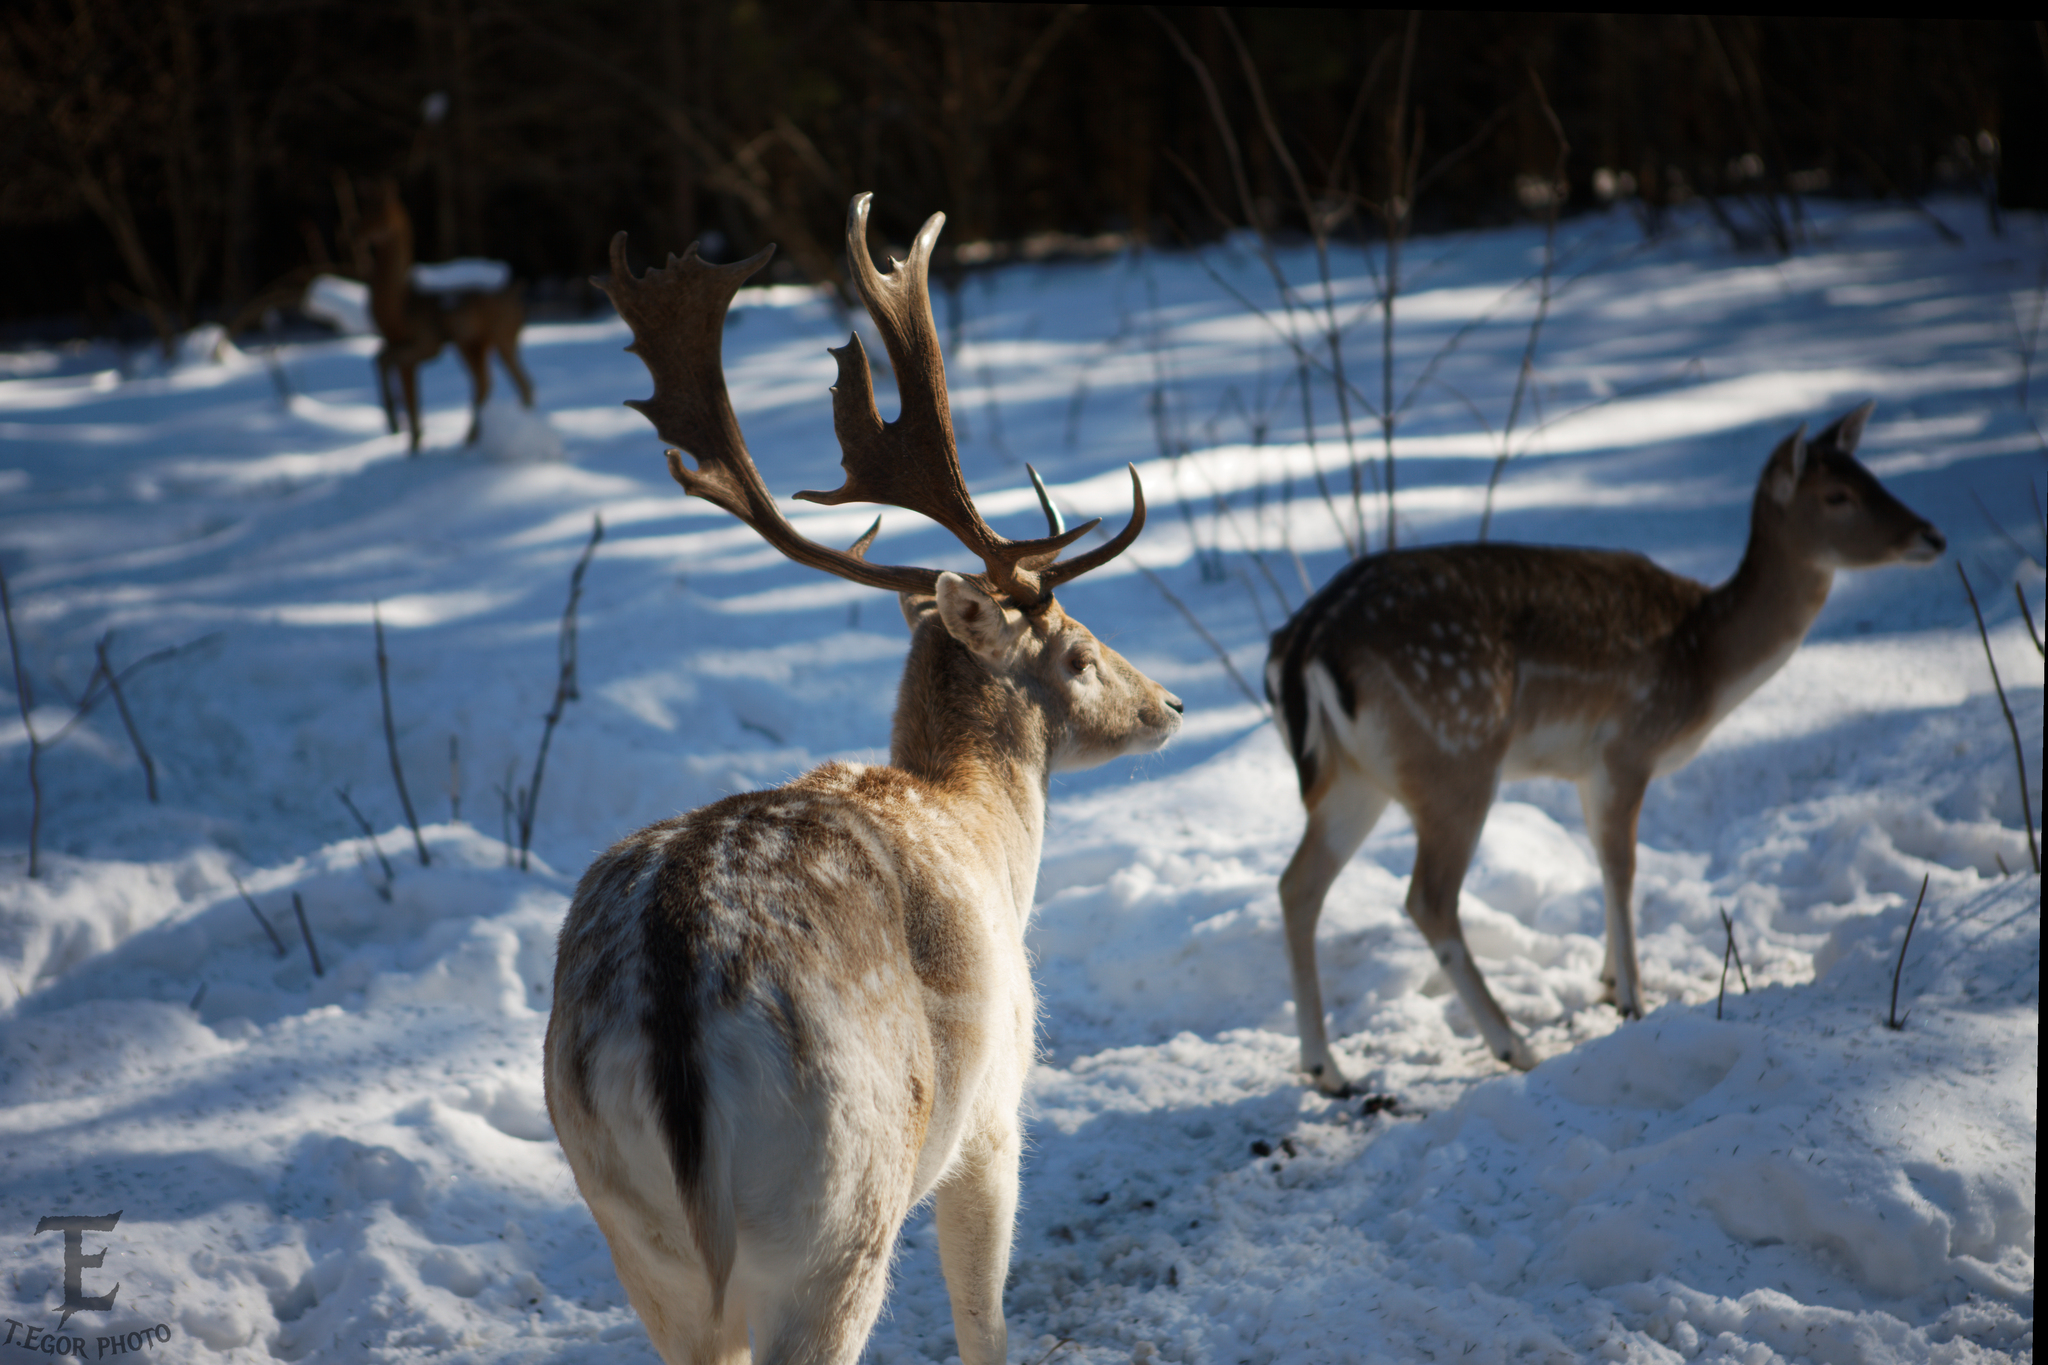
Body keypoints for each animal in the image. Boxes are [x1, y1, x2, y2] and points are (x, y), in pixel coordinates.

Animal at [362, 178, 536, 448]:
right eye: (363, 207)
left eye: (379, 210)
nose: (353, 229)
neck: (399, 307)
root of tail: (516, 293)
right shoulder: (396, 343)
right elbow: (380, 359)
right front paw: (401, 429)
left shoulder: (427, 344)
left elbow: (398, 373)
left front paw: (410, 436)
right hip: (475, 344)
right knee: (490, 383)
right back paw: (474, 437)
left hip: (497, 338)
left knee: (513, 383)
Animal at [544, 194, 1187, 1365]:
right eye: (1077, 650)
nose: (1168, 703)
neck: (980, 824)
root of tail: (669, 1014)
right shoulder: (994, 1108)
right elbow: (984, 1317)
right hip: (841, 1202)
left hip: (632, 1231)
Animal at [1269, 401, 1941, 1096]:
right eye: (1837, 496)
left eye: (1870, 474)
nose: (1932, 536)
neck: (1707, 660)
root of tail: (1306, 641)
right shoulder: (1628, 745)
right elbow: (1623, 867)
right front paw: (1634, 1001)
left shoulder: (1588, 771)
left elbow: (1599, 858)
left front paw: (1608, 980)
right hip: (1456, 756)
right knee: (1427, 897)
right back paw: (1514, 1044)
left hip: (1356, 781)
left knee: (1298, 885)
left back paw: (1327, 1068)